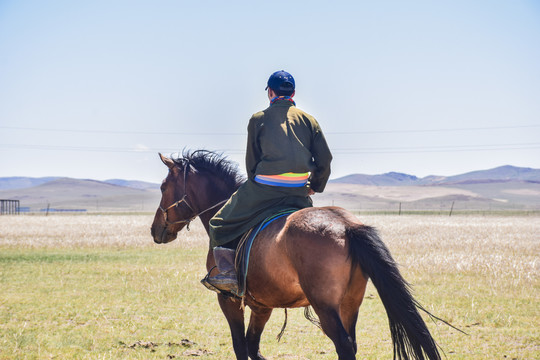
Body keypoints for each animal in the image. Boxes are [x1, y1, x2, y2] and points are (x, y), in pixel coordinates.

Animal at [152, 150, 442, 360]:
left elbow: (241, 347)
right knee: (352, 343)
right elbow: (253, 347)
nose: (155, 229)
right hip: (350, 304)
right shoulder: (262, 306)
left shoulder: (229, 301)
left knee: (344, 346)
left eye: (163, 186)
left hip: (326, 307)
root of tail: (347, 226)